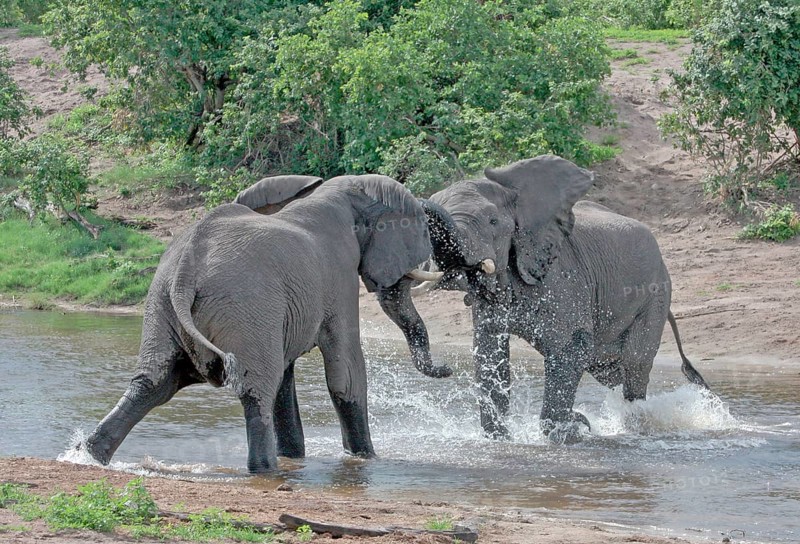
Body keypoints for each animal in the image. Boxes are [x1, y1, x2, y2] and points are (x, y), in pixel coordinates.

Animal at [85, 174, 448, 473]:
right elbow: (345, 372)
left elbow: (286, 378)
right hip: (243, 306)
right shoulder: (339, 276)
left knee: (152, 383)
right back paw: (266, 469)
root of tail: (186, 271)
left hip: (163, 306)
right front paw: (366, 460)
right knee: (255, 389)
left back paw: (89, 454)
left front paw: (298, 458)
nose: (447, 369)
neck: (337, 190)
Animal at [414, 155, 709, 442]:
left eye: (493, 222)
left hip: (656, 295)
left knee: (635, 364)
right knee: (608, 370)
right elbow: (489, 352)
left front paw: (570, 431)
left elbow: (572, 347)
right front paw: (499, 440)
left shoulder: (562, 276)